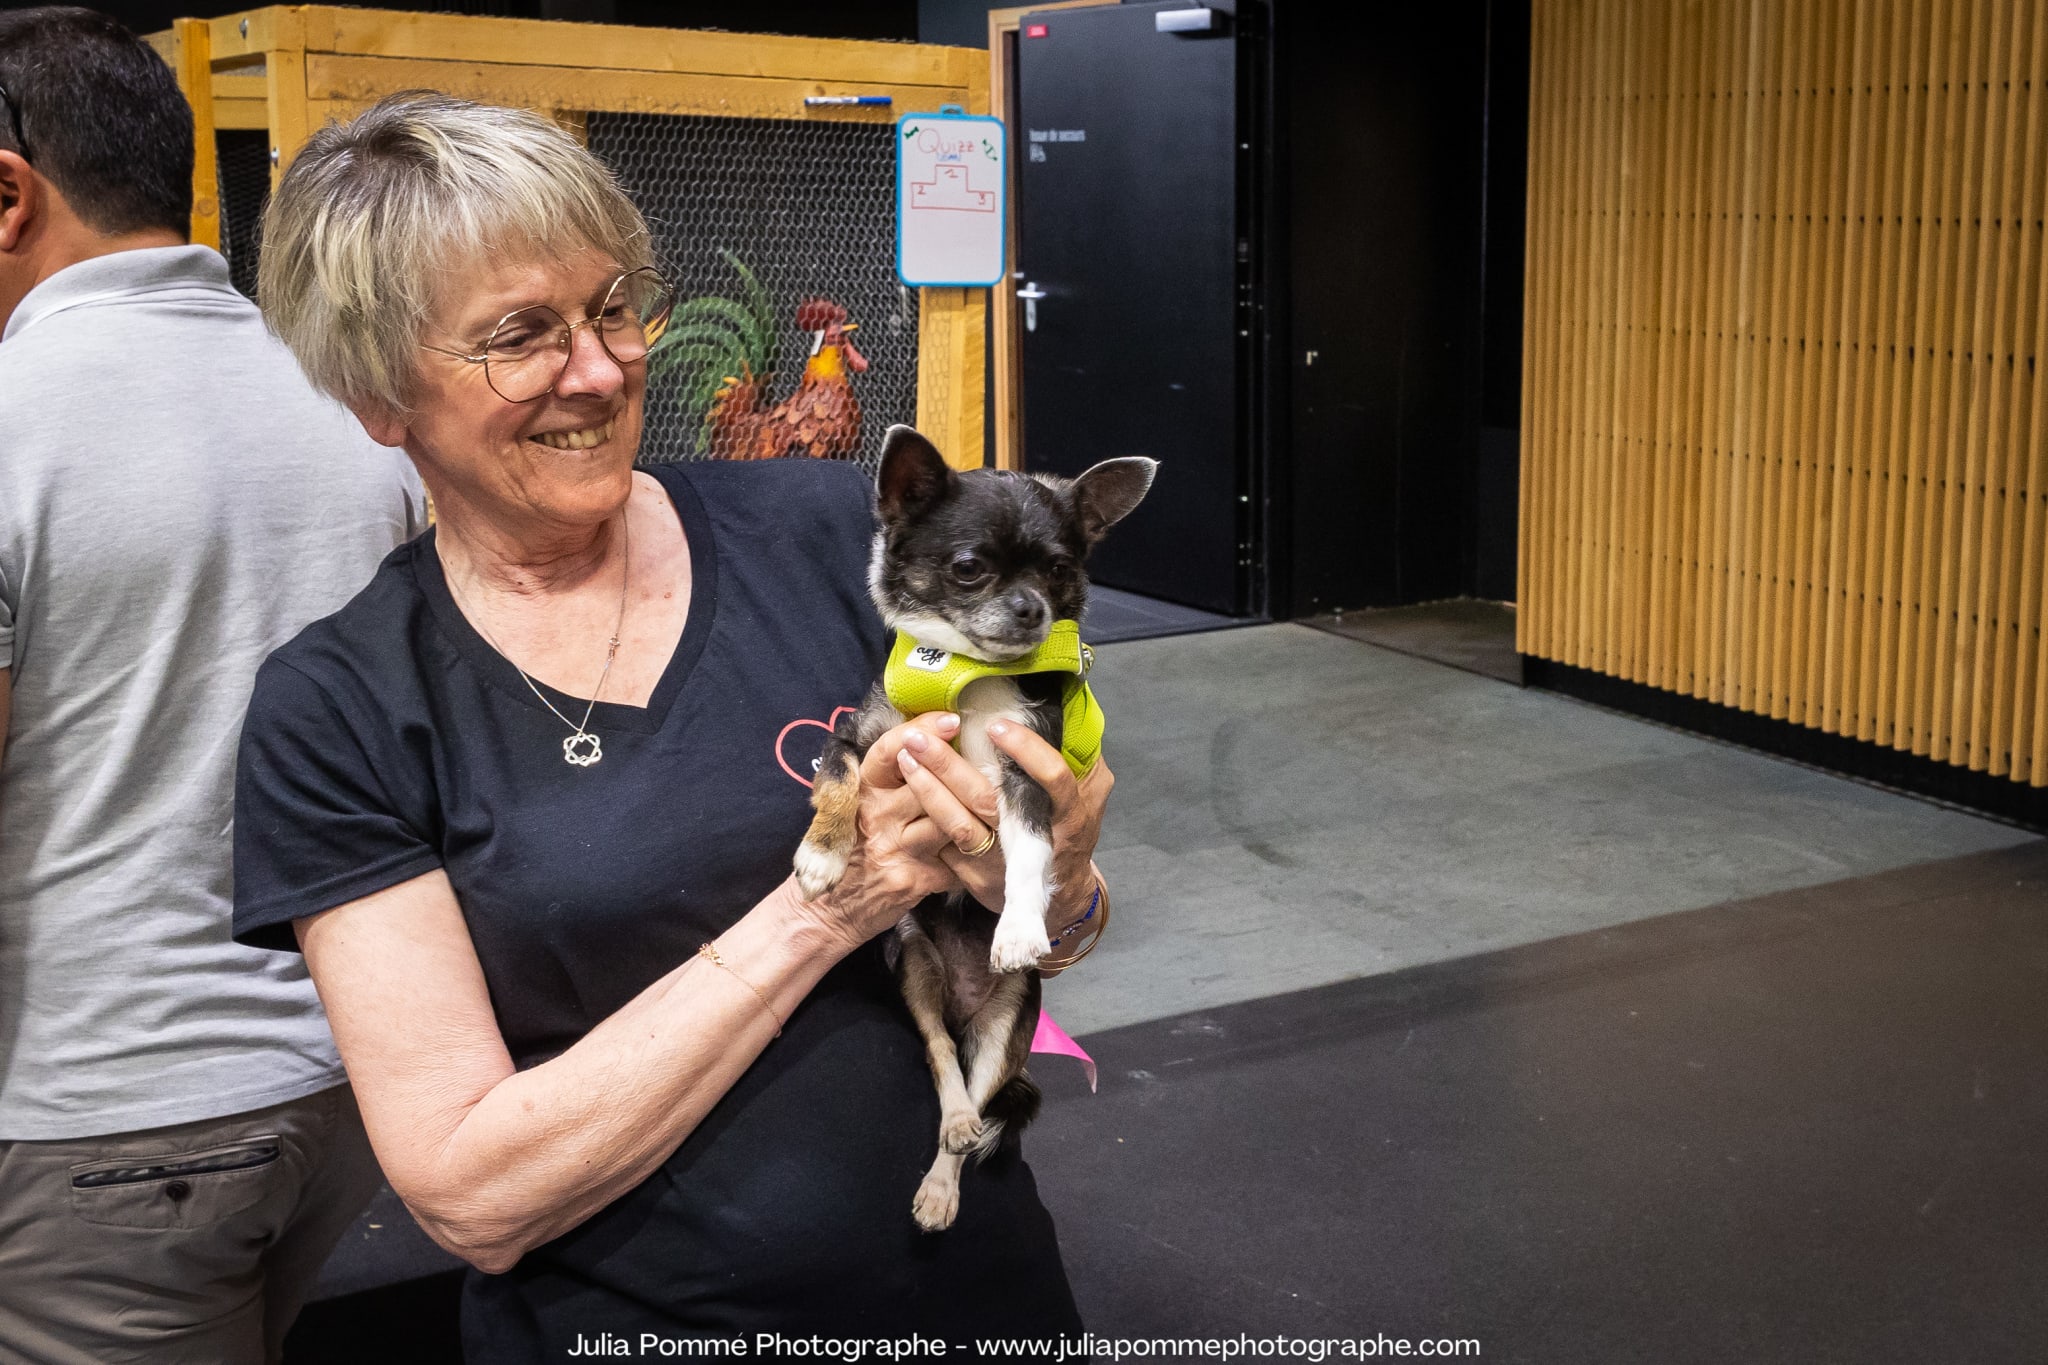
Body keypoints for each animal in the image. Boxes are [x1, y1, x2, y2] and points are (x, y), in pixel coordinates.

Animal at [794, 423, 1163, 1227]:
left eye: (1059, 570)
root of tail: (964, 1009)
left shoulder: (1029, 774)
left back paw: (943, 1181)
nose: (1030, 609)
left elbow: (1027, 853)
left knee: (973, 1094)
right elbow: (836, 782)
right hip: (913, 968)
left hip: (1009, 1020)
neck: (964, 675)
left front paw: (1019, 924)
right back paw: (955, 1118)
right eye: (969, 569)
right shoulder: (860, 737)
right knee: (941, 1061)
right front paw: (822, 854)